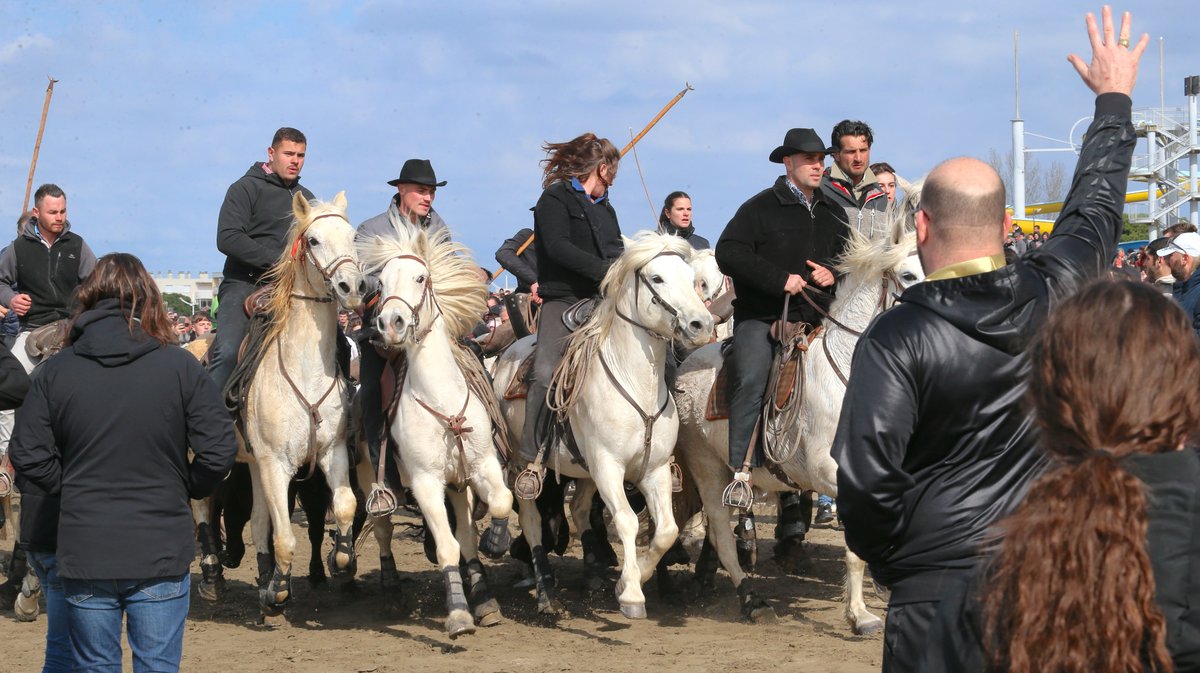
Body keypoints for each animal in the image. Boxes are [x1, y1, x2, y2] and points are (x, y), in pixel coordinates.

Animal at [244, 190, 364, 619]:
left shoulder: (333, 451)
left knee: (259, 520)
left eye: (351, 235)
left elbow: (344, 506)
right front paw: (278, 590)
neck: (306, 370)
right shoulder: (275, 464)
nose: (353, 286)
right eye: (312, 240)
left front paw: (340, 558)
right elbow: (285, 537)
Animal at [350, 224, 511, 633]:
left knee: (466, 535)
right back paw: (392, 593)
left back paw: (483, 596)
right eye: (380, 283)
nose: (390, 324)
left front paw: (495, 547)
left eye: (421, 277)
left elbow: (498, 505)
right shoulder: (425, 482)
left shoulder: (481, 466)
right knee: (384, 531)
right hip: (372, 481)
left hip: (457, 484)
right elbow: (446, 547)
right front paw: (458, 613)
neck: (441, 399)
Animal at [494, 232, 710, 619]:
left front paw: (632, 578)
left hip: (584, 472)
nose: (702, 324)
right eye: (657, 278)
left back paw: (594, 571)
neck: (635, 382)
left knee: (580, 510)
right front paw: (632, 596)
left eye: (692, 278)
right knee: (532, 523)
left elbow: (666, 531)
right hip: (523, 465)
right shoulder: (609, 466)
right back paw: (546, 593)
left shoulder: (654, 470)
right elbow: (625, 520)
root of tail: (507, 354)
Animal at [672, 195, 921, 633]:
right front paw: (861, 614)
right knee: (721, 530)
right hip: (706, 466)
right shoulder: (832, 472)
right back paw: (751, 599)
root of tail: (686, 364)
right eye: (908, 273)